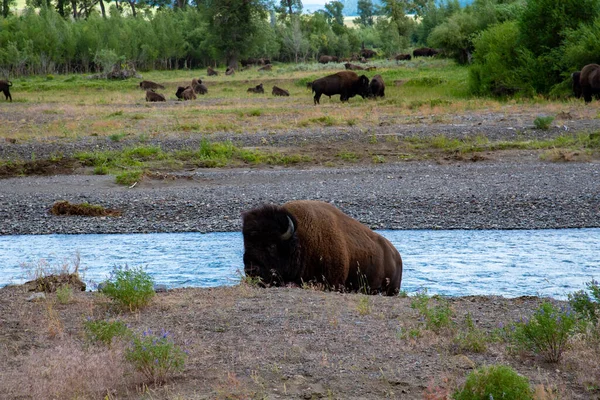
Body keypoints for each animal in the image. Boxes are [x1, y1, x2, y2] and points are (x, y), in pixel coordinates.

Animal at [243, 199, 404, 294]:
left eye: (271, 245)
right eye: (246, 244)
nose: (250, 270)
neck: (300, 240)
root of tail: (396, 255)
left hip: (392, 289)